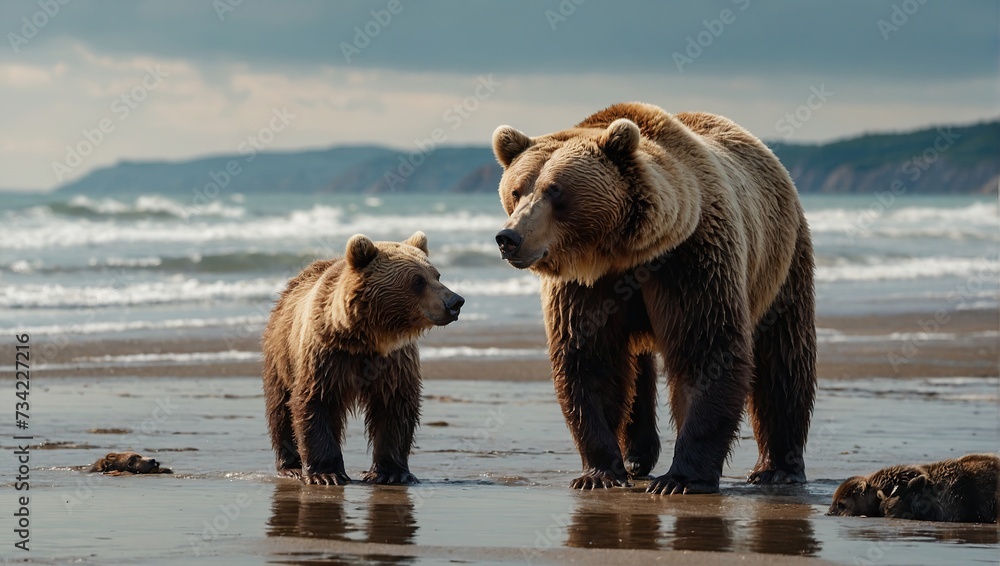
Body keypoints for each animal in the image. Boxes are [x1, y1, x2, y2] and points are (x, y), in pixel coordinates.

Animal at [261, 232, 464, 486]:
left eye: (436, 275)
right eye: (418, 281)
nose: (455, 302)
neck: (366, 338)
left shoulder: (394, 362)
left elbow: (395, 407)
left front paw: (391, 473)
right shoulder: (325, 356)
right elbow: (313, 402)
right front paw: (326, 474)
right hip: (281, 352)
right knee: (279, 406)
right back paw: (291, 467)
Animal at [491, 102, 817, 493]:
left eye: (555, 190)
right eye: (516, 191)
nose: (509, 238)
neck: (624, 253)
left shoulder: (689, 261)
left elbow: (705, 352)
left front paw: (681, 478)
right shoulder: (586, 288)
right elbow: (590, 361)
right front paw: (598, 473)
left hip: (781, 259)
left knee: (784, 355)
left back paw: (778, 468)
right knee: (637, 370)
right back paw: (636, 458)